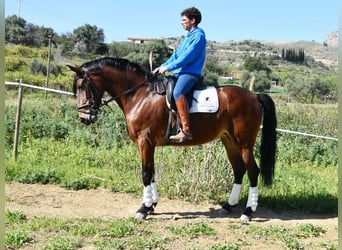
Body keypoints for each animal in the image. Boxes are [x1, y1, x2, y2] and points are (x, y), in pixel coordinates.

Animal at [67, 56, 278, 221]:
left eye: (82, 86)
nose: (84, 118)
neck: (140, 95)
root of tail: (254, 96)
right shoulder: (149, 144)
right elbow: (151, 172)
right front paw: (152, 205)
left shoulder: (145, 141)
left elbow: (145, 173)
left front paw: (143, 209)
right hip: (229, 141)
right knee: (239, 170)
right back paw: (228, 206)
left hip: (244, 143)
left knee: (253, 171)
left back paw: (248, 212)